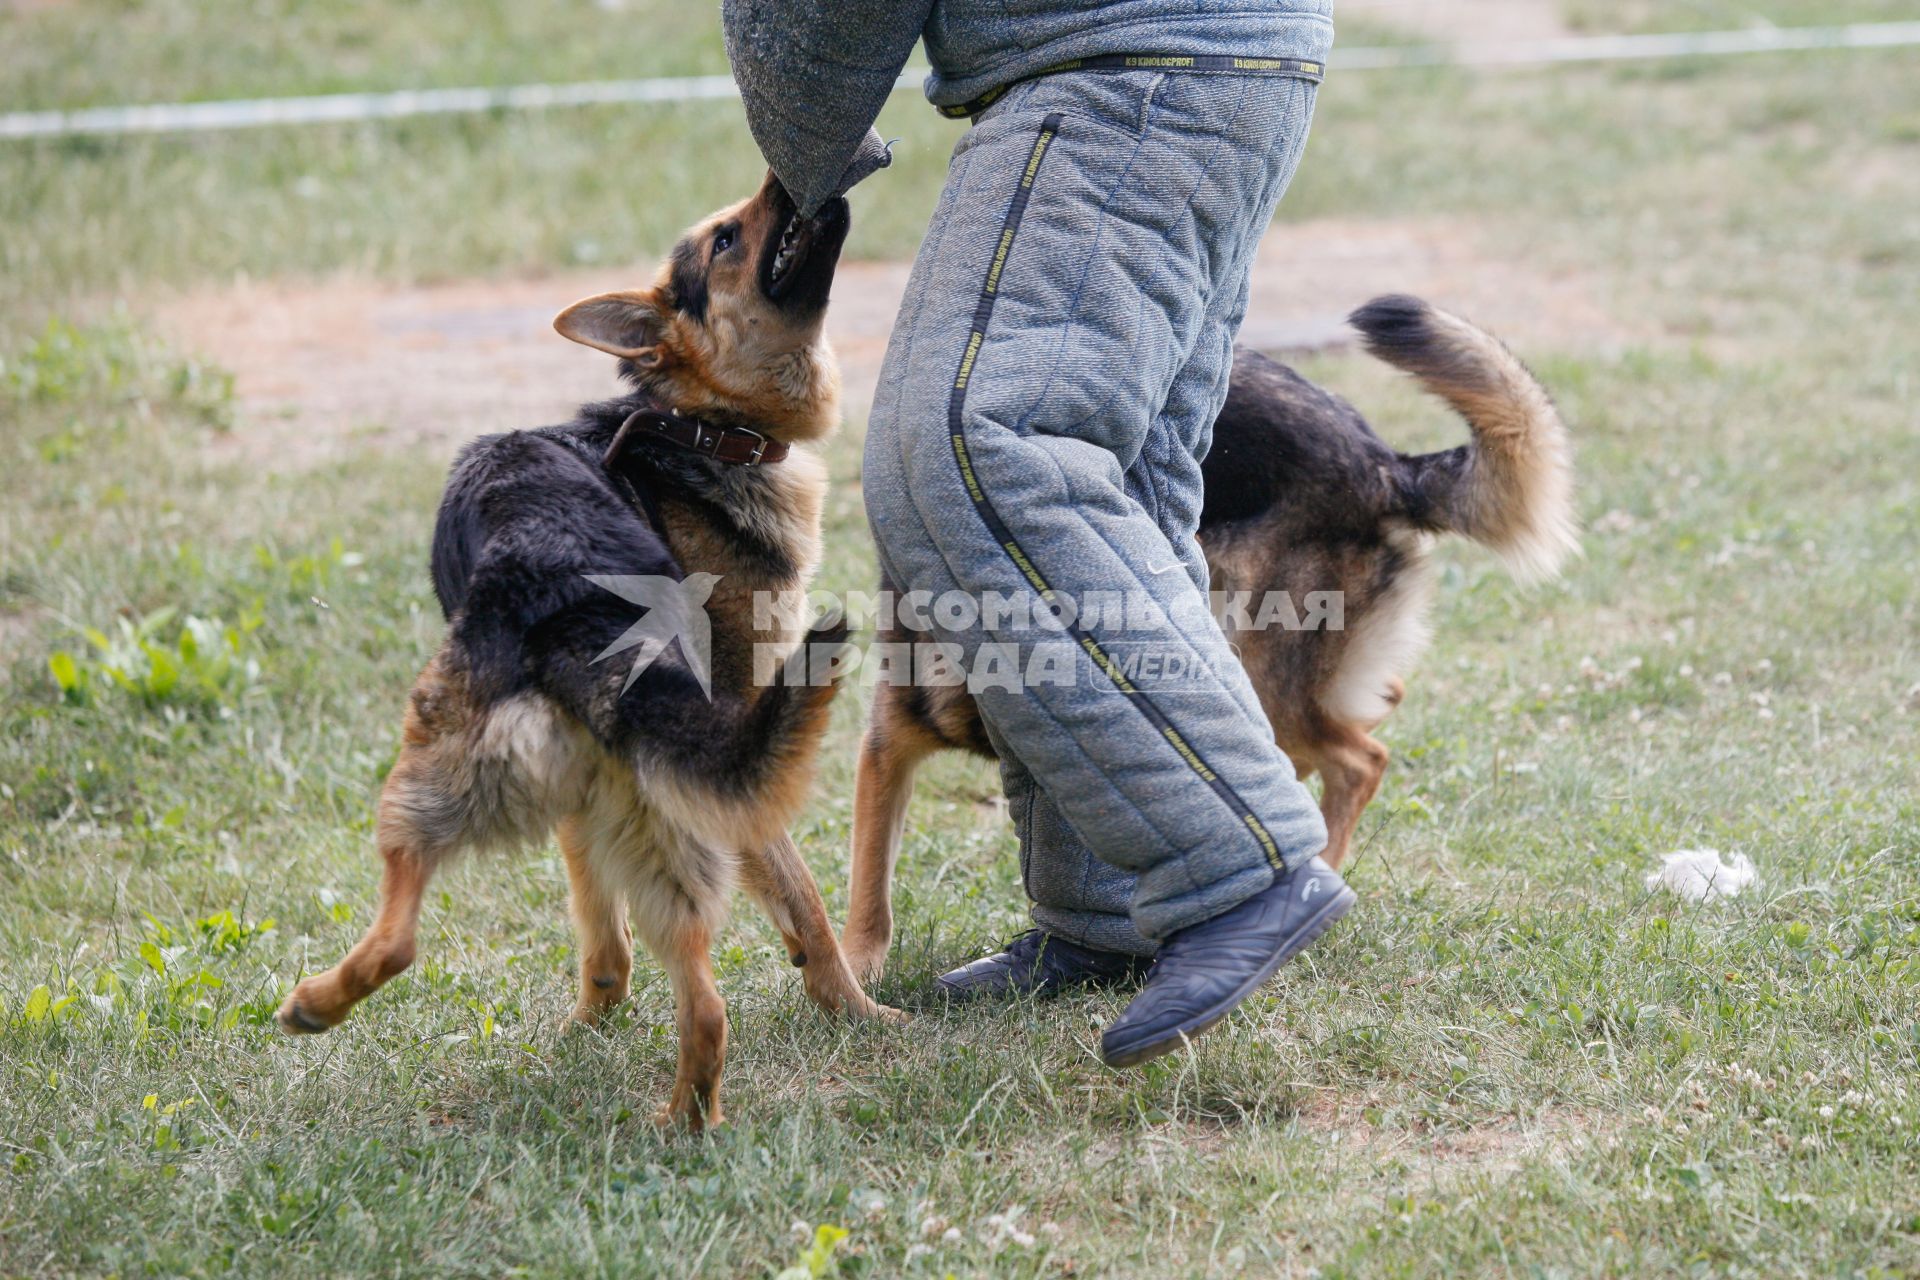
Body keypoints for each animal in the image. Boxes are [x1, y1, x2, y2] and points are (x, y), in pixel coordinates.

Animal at [276, 172, 890, 1128]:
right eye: (725, 239)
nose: (786, 176)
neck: (697, 426)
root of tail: (561, 586)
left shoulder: (628, 787)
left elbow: (615, 916)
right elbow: (791, 900)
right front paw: (848, 1010)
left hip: (439, 783)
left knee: (407, 937)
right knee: (700, 987)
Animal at [840, 301, 1574, 982]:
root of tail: (1381, 464)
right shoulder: (885, 748)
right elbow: (870, 881)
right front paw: (858, 963)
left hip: (1258, 651)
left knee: (1359, 760)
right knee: (1363, 709)